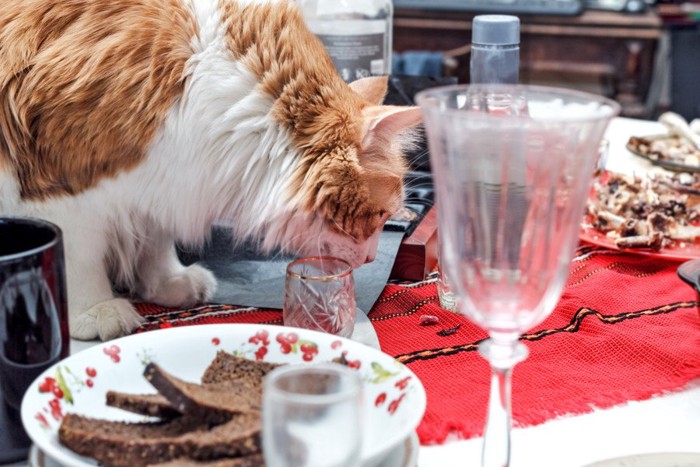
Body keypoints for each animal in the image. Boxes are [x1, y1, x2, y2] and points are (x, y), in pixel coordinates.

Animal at [0, 1, 422, 342]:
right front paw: (94, 309)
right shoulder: (60, 187)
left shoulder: (166, 184)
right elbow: (78, 257)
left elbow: (154, 242)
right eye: (380, 216)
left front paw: (168, 282)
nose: (372, 258)